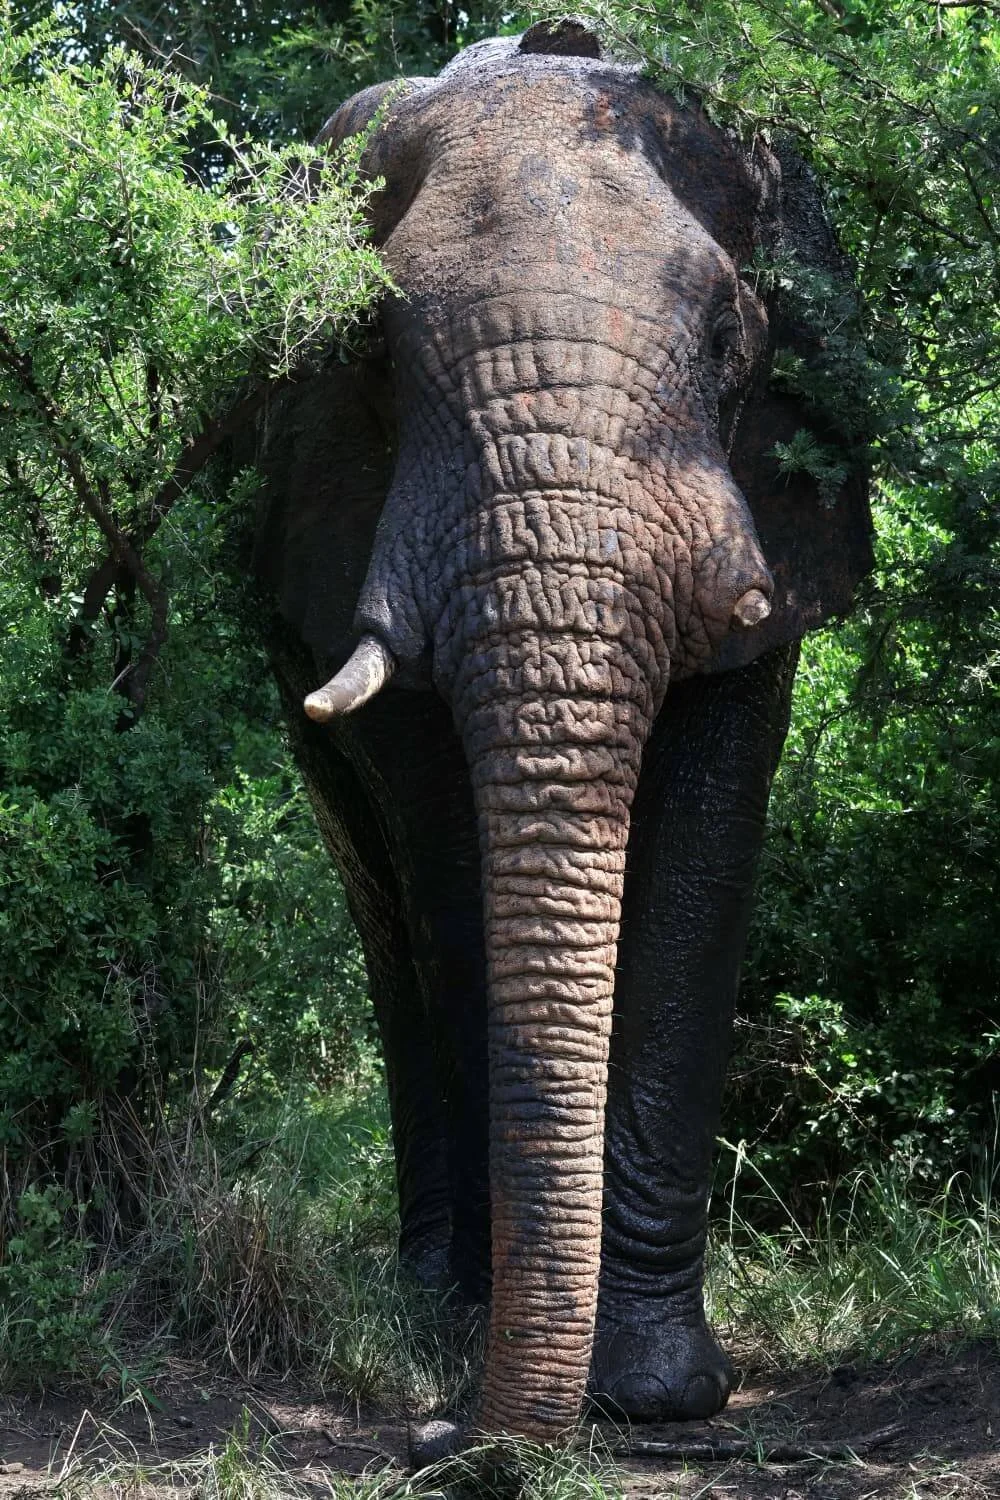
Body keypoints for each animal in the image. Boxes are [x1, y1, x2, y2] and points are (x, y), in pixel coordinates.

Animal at [248, 19, 872, 1446]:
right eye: (369, 351)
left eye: (729, 338)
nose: (457, 1442)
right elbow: (444, 852)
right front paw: (484, 1350)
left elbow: (704, 849)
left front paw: (654, 1394)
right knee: (384, 912)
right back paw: (430, 1306)